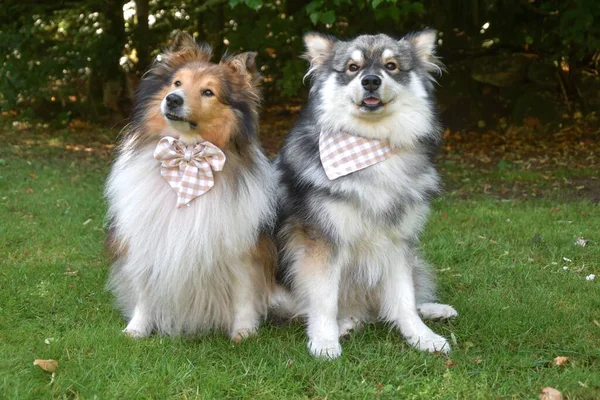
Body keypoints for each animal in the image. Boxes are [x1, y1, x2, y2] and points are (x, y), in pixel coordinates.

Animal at [105, 32, 276, 342]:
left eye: (208, 92)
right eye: (177, 83)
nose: (172, 100)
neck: (187, 155)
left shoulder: (242, 250)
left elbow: (244, 294)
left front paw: (243, 332)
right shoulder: (147, 240)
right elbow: (145, 289)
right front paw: (137, 328)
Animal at [274, 29, 460, 358]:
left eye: (391, 66)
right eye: (352, 67)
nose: (371, 81)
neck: (371, 144)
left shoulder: (398, 242)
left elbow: (404, 299)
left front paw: (421, 336)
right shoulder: (322, 242)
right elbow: (324, 299)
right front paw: (324, 340)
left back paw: (434, 309)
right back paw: (345, 324)